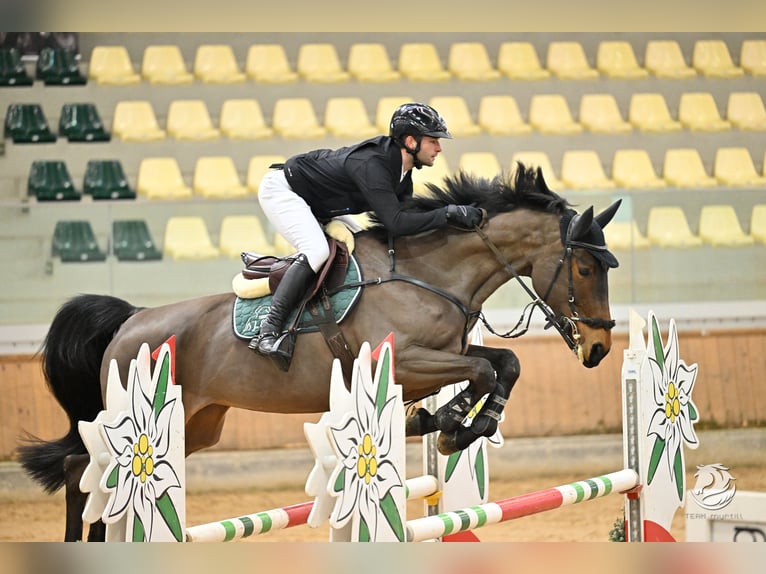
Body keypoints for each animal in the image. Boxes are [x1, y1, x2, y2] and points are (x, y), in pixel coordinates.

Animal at [17, 164, 621, 541]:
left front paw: (450, 422)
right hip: (138, 414)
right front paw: (449, 424)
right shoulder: (402, 362)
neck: (429, 273)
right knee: (81, 467)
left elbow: (502, 365)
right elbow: (482, 368)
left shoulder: (440, 355)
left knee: (88, 468)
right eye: (584, 267)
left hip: (195, 424)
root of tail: (132, 319)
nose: (598, 348)